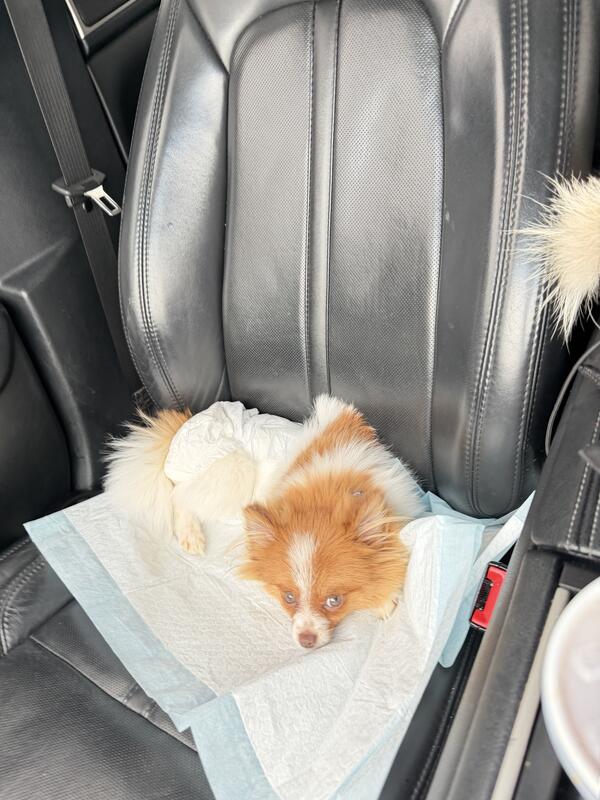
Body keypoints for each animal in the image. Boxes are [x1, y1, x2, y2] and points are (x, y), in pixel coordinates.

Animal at [105, 396, 422, 649]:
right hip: (234, 468)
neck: (327, 490)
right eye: (289, 597)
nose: (305, 640)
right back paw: (191, 535)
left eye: (334, 601)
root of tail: (182, 425)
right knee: (180, 495)